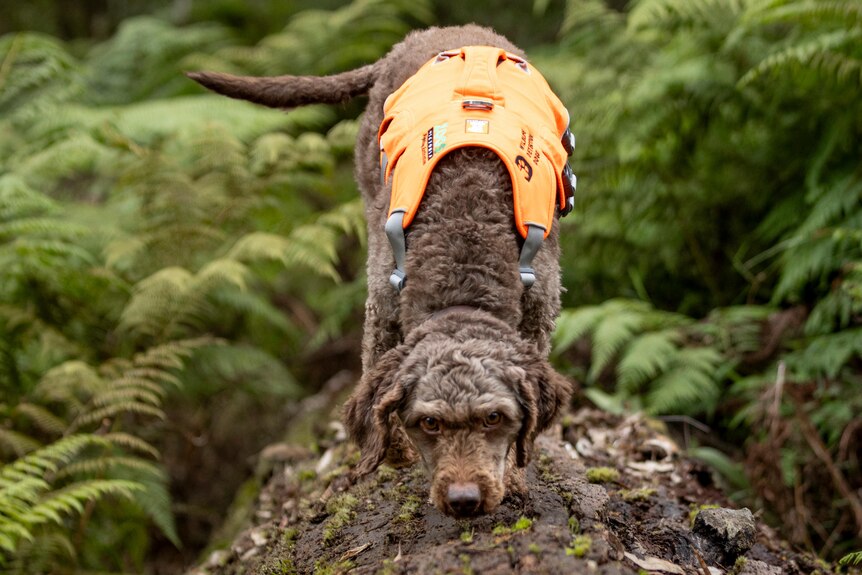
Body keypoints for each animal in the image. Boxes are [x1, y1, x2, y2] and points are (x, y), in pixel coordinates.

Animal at [189, 24, 572, 516]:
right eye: (428, 423)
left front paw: (516, 475)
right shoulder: (384, 307)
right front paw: (394, 452)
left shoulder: (539, 311)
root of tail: (433, 34)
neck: (464, 256)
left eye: (494, 418)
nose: (463, 500)